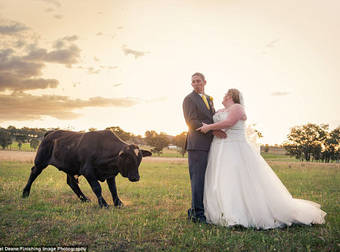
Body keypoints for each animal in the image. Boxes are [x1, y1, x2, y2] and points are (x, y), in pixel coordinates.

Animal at [22, 129, 151, 208]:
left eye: (139, 159)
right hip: (40, 162)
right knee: (34, 173)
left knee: (72, 183)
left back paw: (84, 199)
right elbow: (97, 188)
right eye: (128, 159)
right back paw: (25, 193)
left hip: (70, 167)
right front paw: (104, 204)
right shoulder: (88, 172)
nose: (135, 177)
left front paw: (118, 203)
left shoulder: (110, 174)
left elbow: (113, 189)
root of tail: (51, 133)